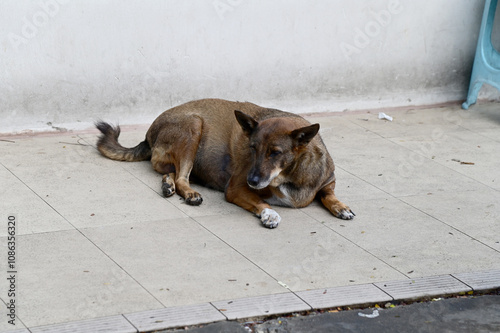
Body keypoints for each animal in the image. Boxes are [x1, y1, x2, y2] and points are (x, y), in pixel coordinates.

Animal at [95, 97, 354, 227]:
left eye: (275, 152)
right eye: (252, 148)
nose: (253, 180)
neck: (291, 175)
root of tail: (150, 132)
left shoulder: (327, 181)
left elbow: (328, 194)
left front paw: (340, 206)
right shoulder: (236, 188)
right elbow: (261, 201)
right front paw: (269, 214)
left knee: (172, 173)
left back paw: (168, 185)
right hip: (193, 127)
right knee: (182, 177)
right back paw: (189, 193)